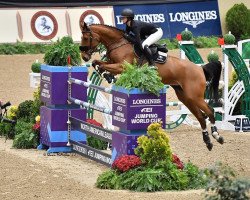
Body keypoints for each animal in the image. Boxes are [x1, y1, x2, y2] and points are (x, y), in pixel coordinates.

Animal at [79, 21, 225, 150]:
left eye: (85, 38)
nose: (84, 56)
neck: (119, 44)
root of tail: (200, 69)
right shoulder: (113, 63)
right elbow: (98, 63)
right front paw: (106, 75)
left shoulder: (121, 66)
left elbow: (101, 64)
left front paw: (107, 75)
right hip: (185, 97)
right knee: (201, 117)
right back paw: (208, 141)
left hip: (194, 96)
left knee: (210, 111)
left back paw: (217, 136)